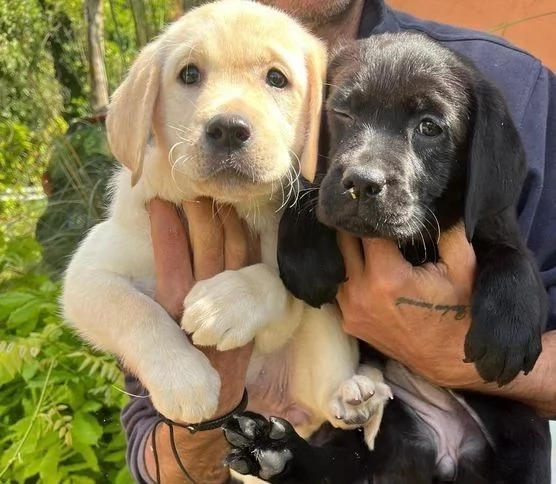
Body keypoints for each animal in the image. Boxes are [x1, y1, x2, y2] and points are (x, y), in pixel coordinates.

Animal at [62, 0, 390, 446]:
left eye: (276, 78)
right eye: (189, 74)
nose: (229, 129)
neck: (227, 205)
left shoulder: (287, 308)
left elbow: (275, 280)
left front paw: (225, 304)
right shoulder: (88, 274)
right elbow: (135, 311)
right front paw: (184, 380)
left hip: (324, 336)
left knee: (330, 404)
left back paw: (355, 395)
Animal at [223, 32, 552, 482]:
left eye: (429, 127)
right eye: (342, 111)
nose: (362, 183)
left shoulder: (493, 219)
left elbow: (512, 258)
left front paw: (507, 332)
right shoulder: (324, 186)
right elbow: (311, 192)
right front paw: (307, 259)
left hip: (526, 440)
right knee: (335, 466)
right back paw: (275, 450)